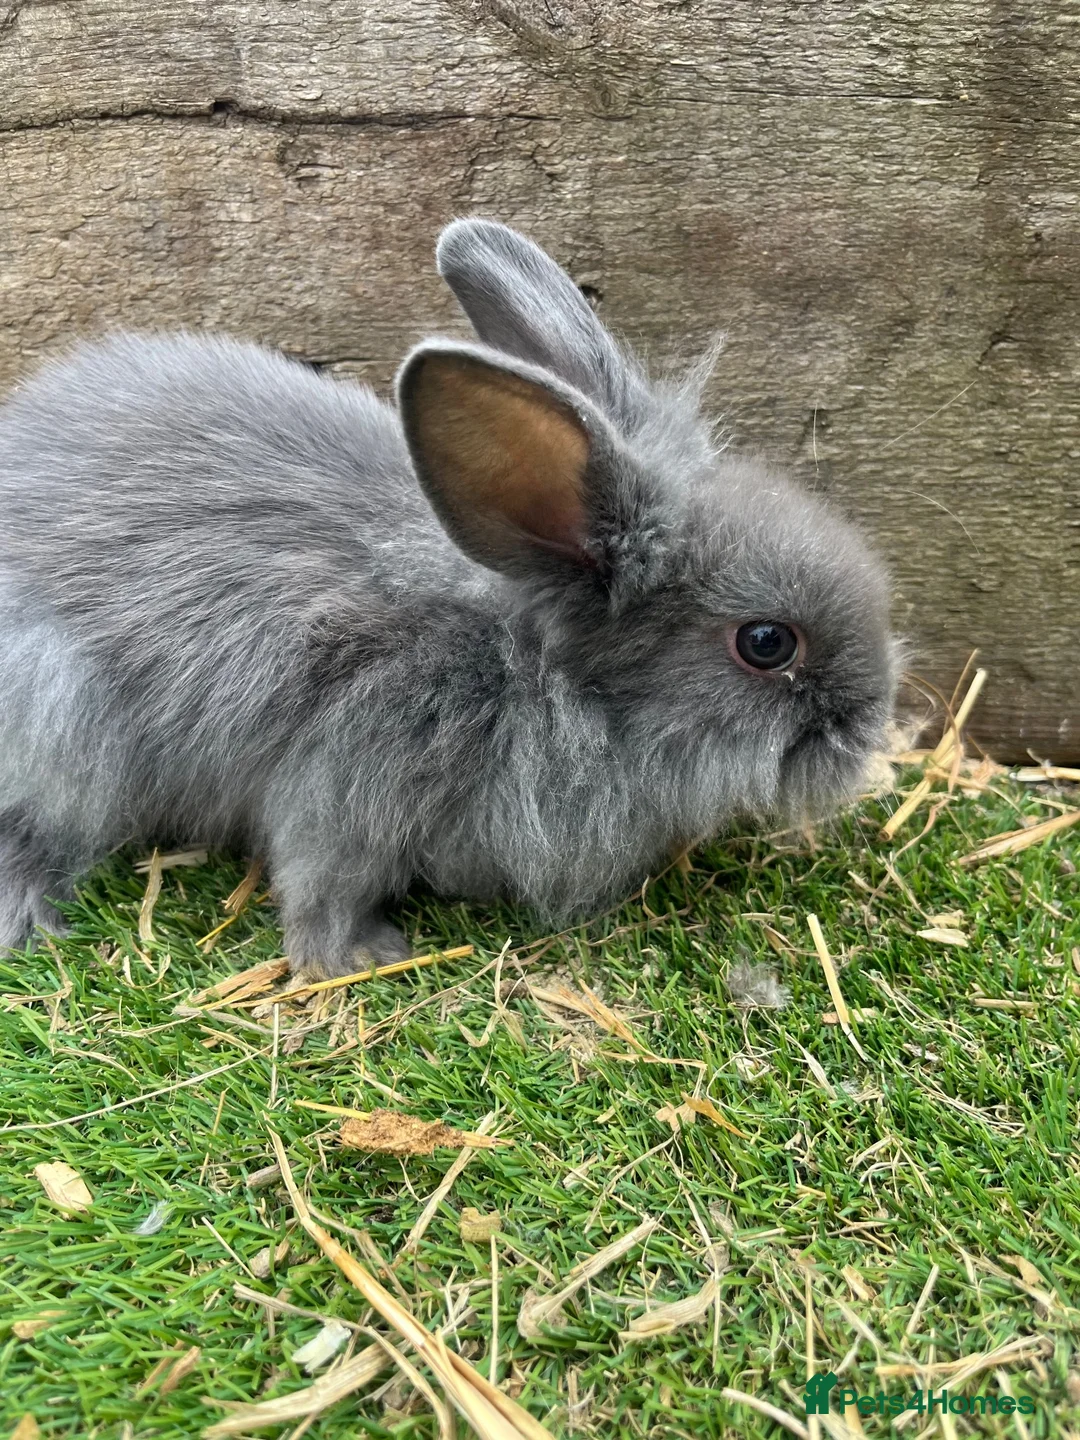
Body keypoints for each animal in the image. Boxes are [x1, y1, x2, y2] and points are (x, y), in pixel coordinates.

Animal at [0, 219, 898, 976]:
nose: (870, 723)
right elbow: (323, 881)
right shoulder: (346, 777)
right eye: (767, 643)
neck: (523, 668)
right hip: (59, 714)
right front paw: (355, 959)